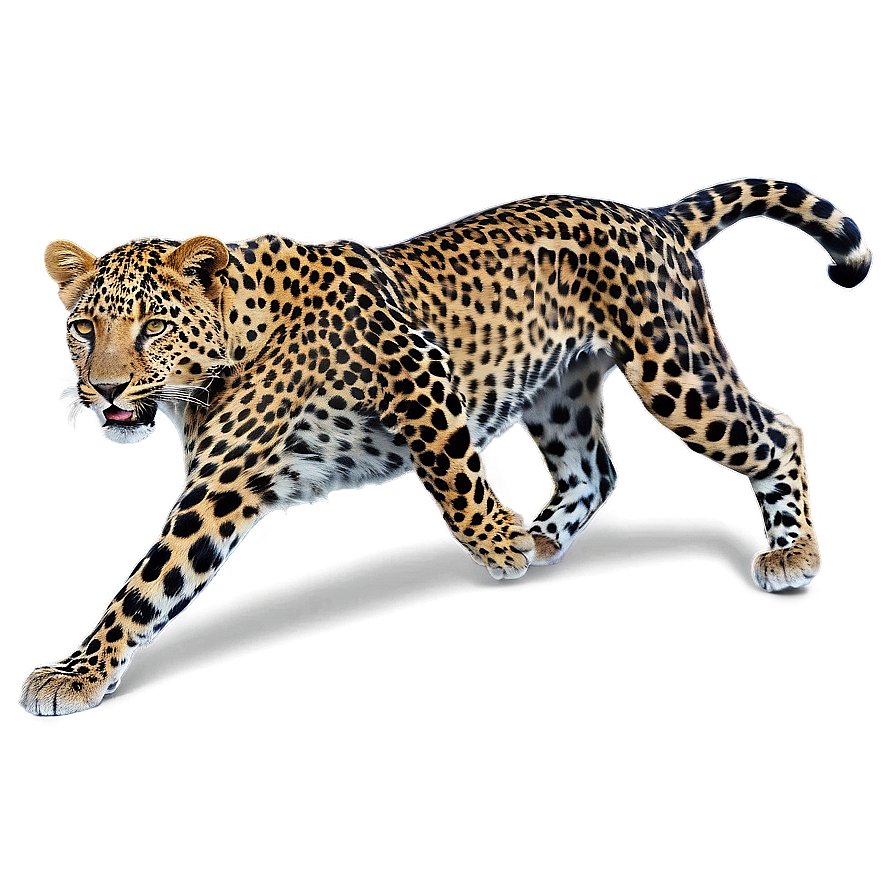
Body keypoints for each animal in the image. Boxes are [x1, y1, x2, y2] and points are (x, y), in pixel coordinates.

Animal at [20, 177, 871, 714]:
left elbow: (449, 467)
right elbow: (155, 584)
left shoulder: (417, 369)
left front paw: (491, 541)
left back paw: (791, 552)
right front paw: (77, 671)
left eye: (153, 327)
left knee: (776, 432)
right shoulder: (226, 482)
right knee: (594, 469)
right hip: (559, 393)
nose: (103, 391)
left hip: (675, 372)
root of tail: (654, 214)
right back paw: (540, 539)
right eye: (83, 328)